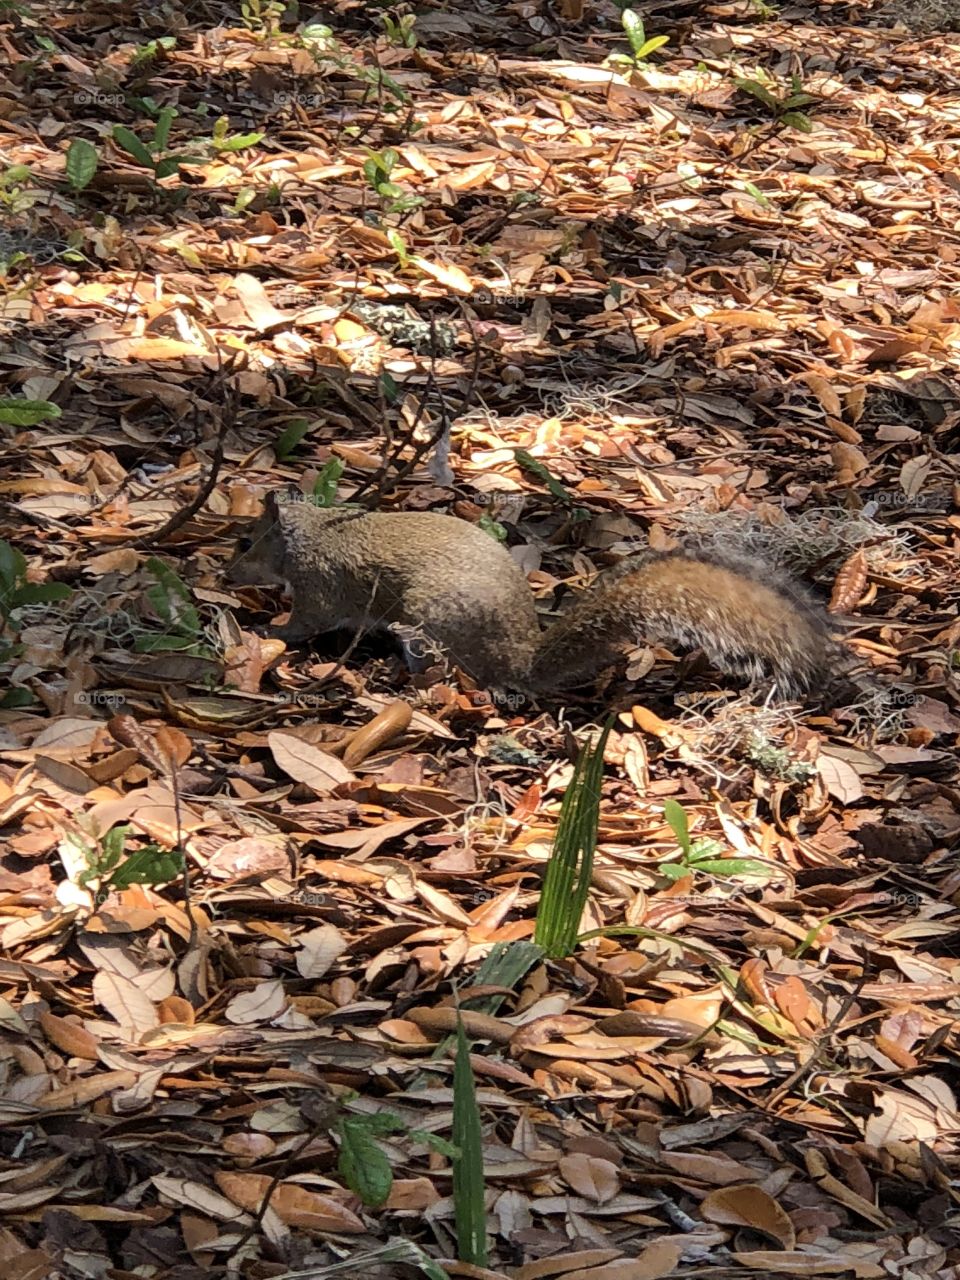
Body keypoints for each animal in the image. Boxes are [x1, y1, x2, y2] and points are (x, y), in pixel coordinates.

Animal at [225, 490, 842, 699]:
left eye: (246, 541)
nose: (228, 576)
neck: (314, 532)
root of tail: (518, 656)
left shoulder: (318, 587)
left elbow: (306, 622)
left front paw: (269, 630)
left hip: (430, 615)